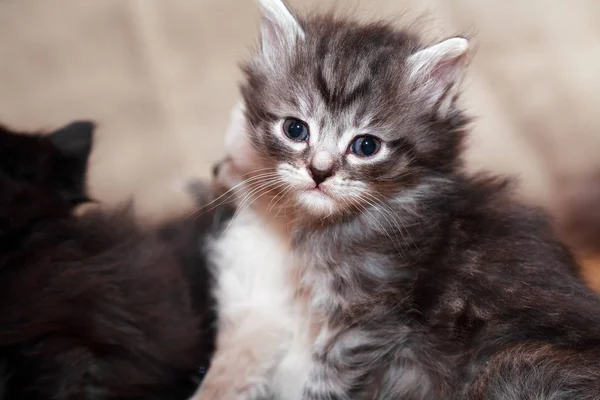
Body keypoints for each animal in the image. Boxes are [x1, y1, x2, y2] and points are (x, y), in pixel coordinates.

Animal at [191, 0, 600, 400]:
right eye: (295, 129)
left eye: (366, 146)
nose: (319, 172)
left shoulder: (368, 319)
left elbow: (326, 380)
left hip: (510, 365)